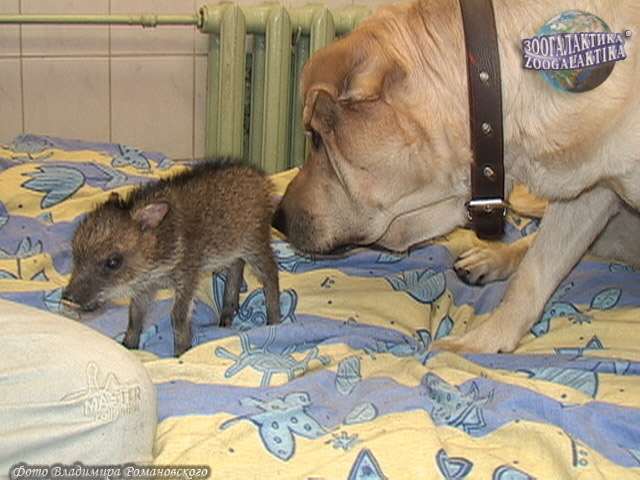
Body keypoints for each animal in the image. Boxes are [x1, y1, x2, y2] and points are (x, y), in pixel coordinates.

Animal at [274, 0, 640, 353]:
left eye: (316, 138)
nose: (276, 218)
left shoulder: (588, 190)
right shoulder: (589, 191)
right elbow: (533, 275)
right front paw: (487, 341)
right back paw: (491, 257)